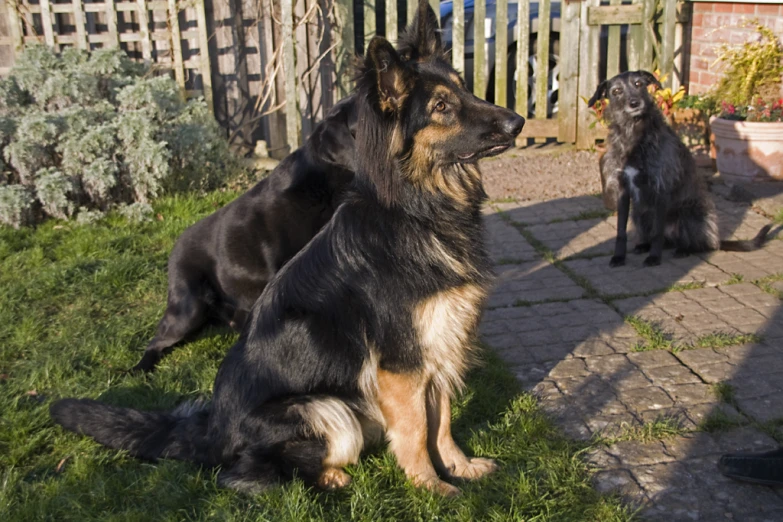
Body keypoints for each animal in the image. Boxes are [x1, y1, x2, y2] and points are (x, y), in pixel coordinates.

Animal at [588, 71, 772, 266]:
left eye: (638, 84)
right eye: (616, 91)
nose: (634, 103)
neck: (633, 133)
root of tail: (715, 240)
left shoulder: (660, 187)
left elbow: (658, 232)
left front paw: (654, 257)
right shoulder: (623, 190)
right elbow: (620, 231)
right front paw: (619, 257)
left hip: (689, 213)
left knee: (696, 244)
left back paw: (684, 249)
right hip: (639, 214)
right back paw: (644, 245)